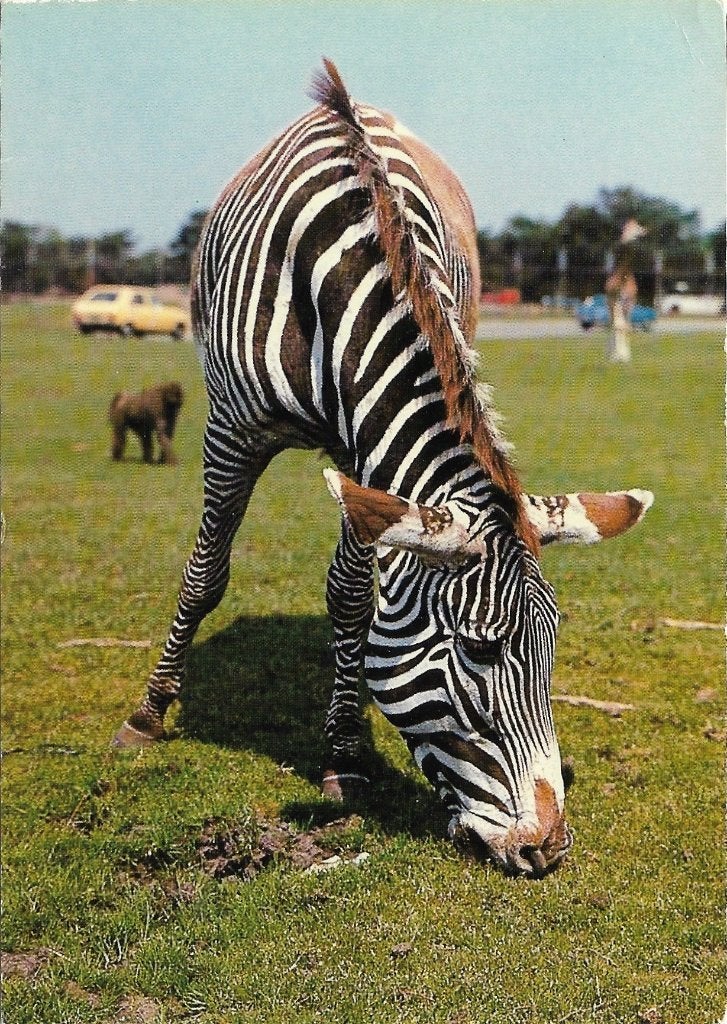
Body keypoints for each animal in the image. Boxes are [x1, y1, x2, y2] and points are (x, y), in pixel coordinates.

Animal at [114, 60, 653, 877]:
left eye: (554, 647)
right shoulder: (231, 429)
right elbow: (206, 572)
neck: (344, 276)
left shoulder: (360, 447)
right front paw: (150, 711)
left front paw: (343, 748)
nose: (546, 849)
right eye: (478, 648)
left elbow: (349, 595)